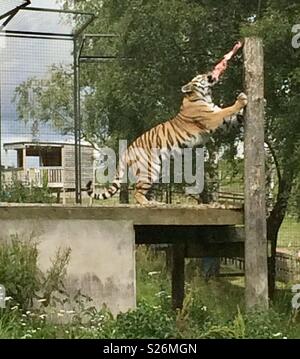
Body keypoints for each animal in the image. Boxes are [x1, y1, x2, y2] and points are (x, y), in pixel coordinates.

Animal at [85, 71, 247, 205]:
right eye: (200, 76)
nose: (209, 74)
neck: (202, 96)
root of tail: (127, 150)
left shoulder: (224, 122)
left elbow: (234, 116)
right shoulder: (213, 119)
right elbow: (228, 110)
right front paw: (241, 99)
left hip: (155, 171)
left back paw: (154, 202)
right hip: (149, 170)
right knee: (137, 192)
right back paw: (148, 203)